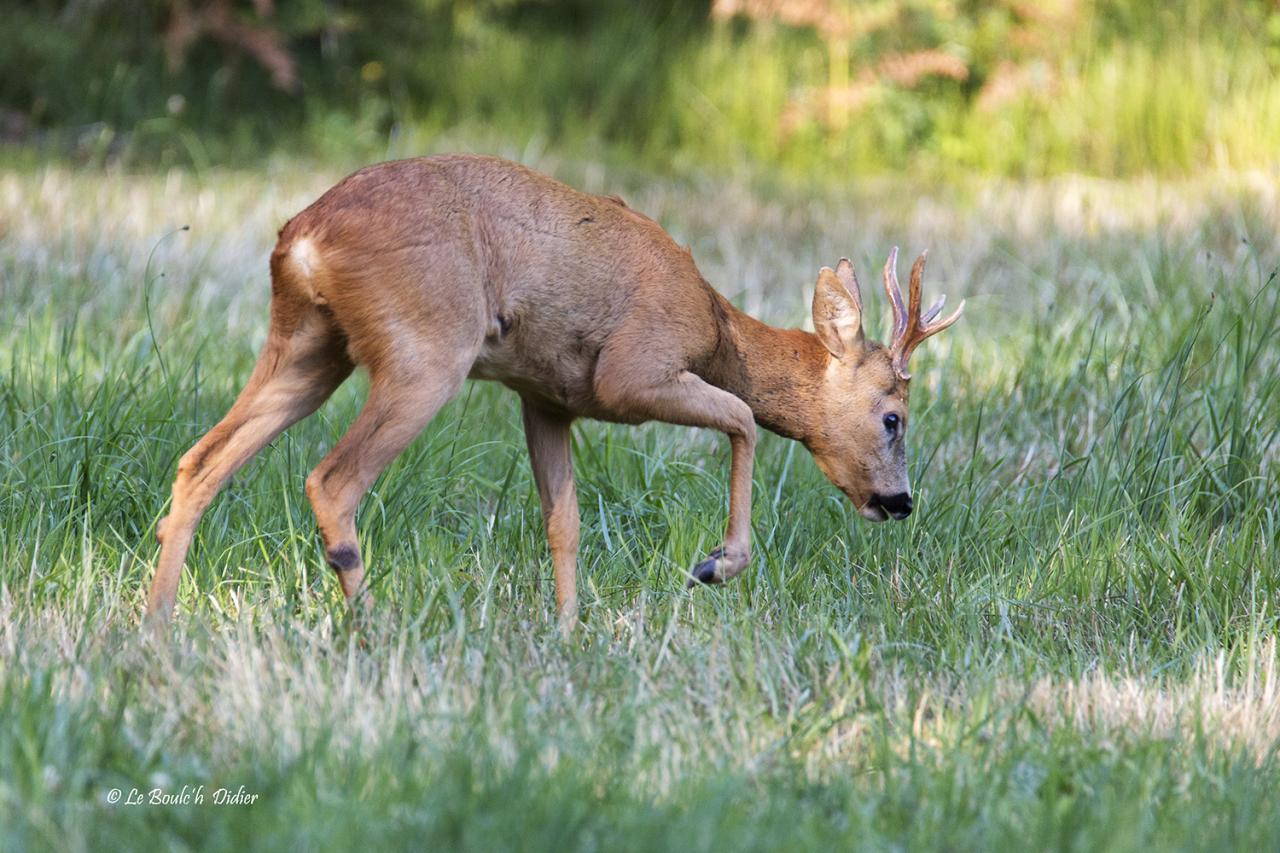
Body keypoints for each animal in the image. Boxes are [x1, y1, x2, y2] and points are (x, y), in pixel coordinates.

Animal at [142, 154, 962, 630]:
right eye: (894, 417)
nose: (900, 501)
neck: (716, 327)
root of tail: (304, 237)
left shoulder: (547, 397)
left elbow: (561, 520)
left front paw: (570, 631)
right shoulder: (630, 372)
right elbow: (743, 419)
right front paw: (715, 565)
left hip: (310, 345)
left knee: (200, 461)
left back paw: (156, 622)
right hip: (425, 350)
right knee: (331, 479)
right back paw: (373, 627)